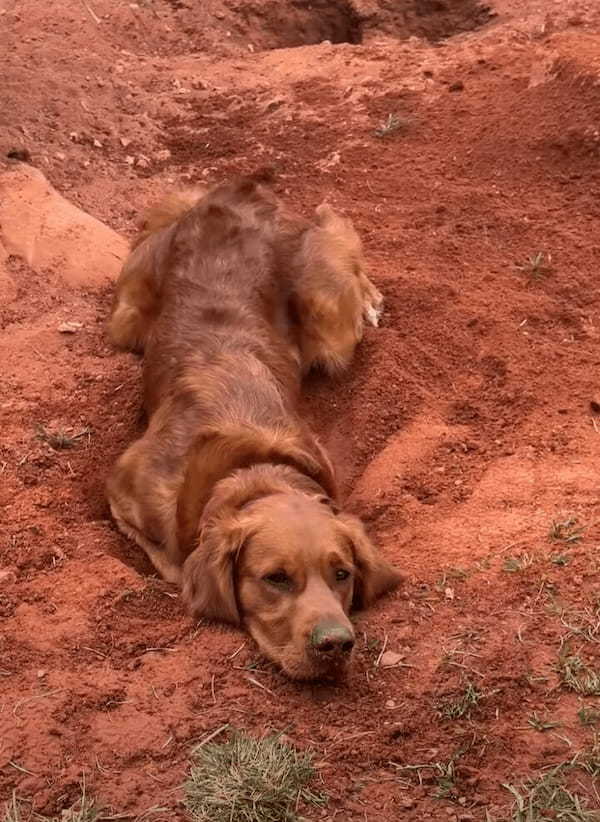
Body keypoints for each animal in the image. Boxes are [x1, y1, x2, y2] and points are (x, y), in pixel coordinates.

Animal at [106, 175, 400, 684]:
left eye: (342, 573)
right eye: (275, 579)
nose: (336, 645)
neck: (250, 469)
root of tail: (239, 191)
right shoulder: (121, 492)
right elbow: (173, 561)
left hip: (327, 319)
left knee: (336, 229)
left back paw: (368, 298)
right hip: (126, 315)